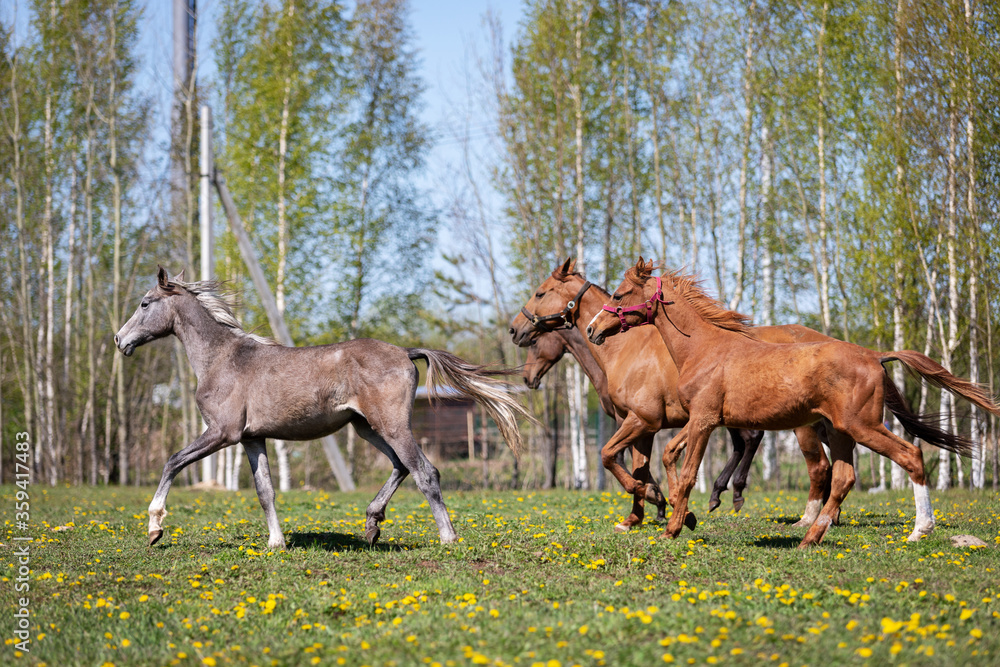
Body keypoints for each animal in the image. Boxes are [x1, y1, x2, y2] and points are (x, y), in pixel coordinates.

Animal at [114, 268, 536, 552]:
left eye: (145, 303)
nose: (120, 339)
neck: (223, 359)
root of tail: (405, 351)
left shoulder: (222, 433)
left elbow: (172, 461)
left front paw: (154, 528)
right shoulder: (252, 439)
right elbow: (265, 491)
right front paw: (276, 542)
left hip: (391, 424)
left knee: (425, 471)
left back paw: (448, 537)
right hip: (365, 427)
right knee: (400, 466)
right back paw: (372, 524)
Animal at [512, 260, 840, 528]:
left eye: (540, 293)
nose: (515, 330)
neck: (628, 350)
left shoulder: (641, 420)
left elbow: (612, 458)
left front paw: (658, 501)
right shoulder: (644, 426)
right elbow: (639, 465)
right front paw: (637, 517)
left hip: (801, 426)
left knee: (816, 466)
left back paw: (798, 515)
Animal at [584, 260, 1000, 548]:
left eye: (618, 295)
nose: (591, 329)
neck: (704, 349)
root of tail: (875, 356)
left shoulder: (702, 420)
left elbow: (687, 472)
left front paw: (673, 526)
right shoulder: (703, 420)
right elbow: (671, 455)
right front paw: (683, 515)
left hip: (861, 427)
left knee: (908, 456)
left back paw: (919, 530)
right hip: (841, 431)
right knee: (843, 477)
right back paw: (810, 537)